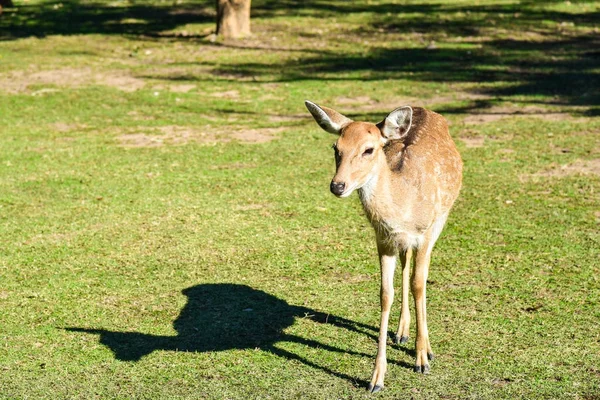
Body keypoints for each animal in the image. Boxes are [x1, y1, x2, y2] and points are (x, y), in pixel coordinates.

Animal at [304, 101, 464, 394]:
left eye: (369, 149)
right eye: (335, 147)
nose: (337, 185)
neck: (404, 206)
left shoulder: (425, 233)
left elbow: (419, 284)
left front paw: (422, 359)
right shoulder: (383, 238)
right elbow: (385, 294)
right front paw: (376, 378)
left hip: (441, 218)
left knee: (418, 274)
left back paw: (422, 345)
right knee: (405, 262)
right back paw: (401, 332)